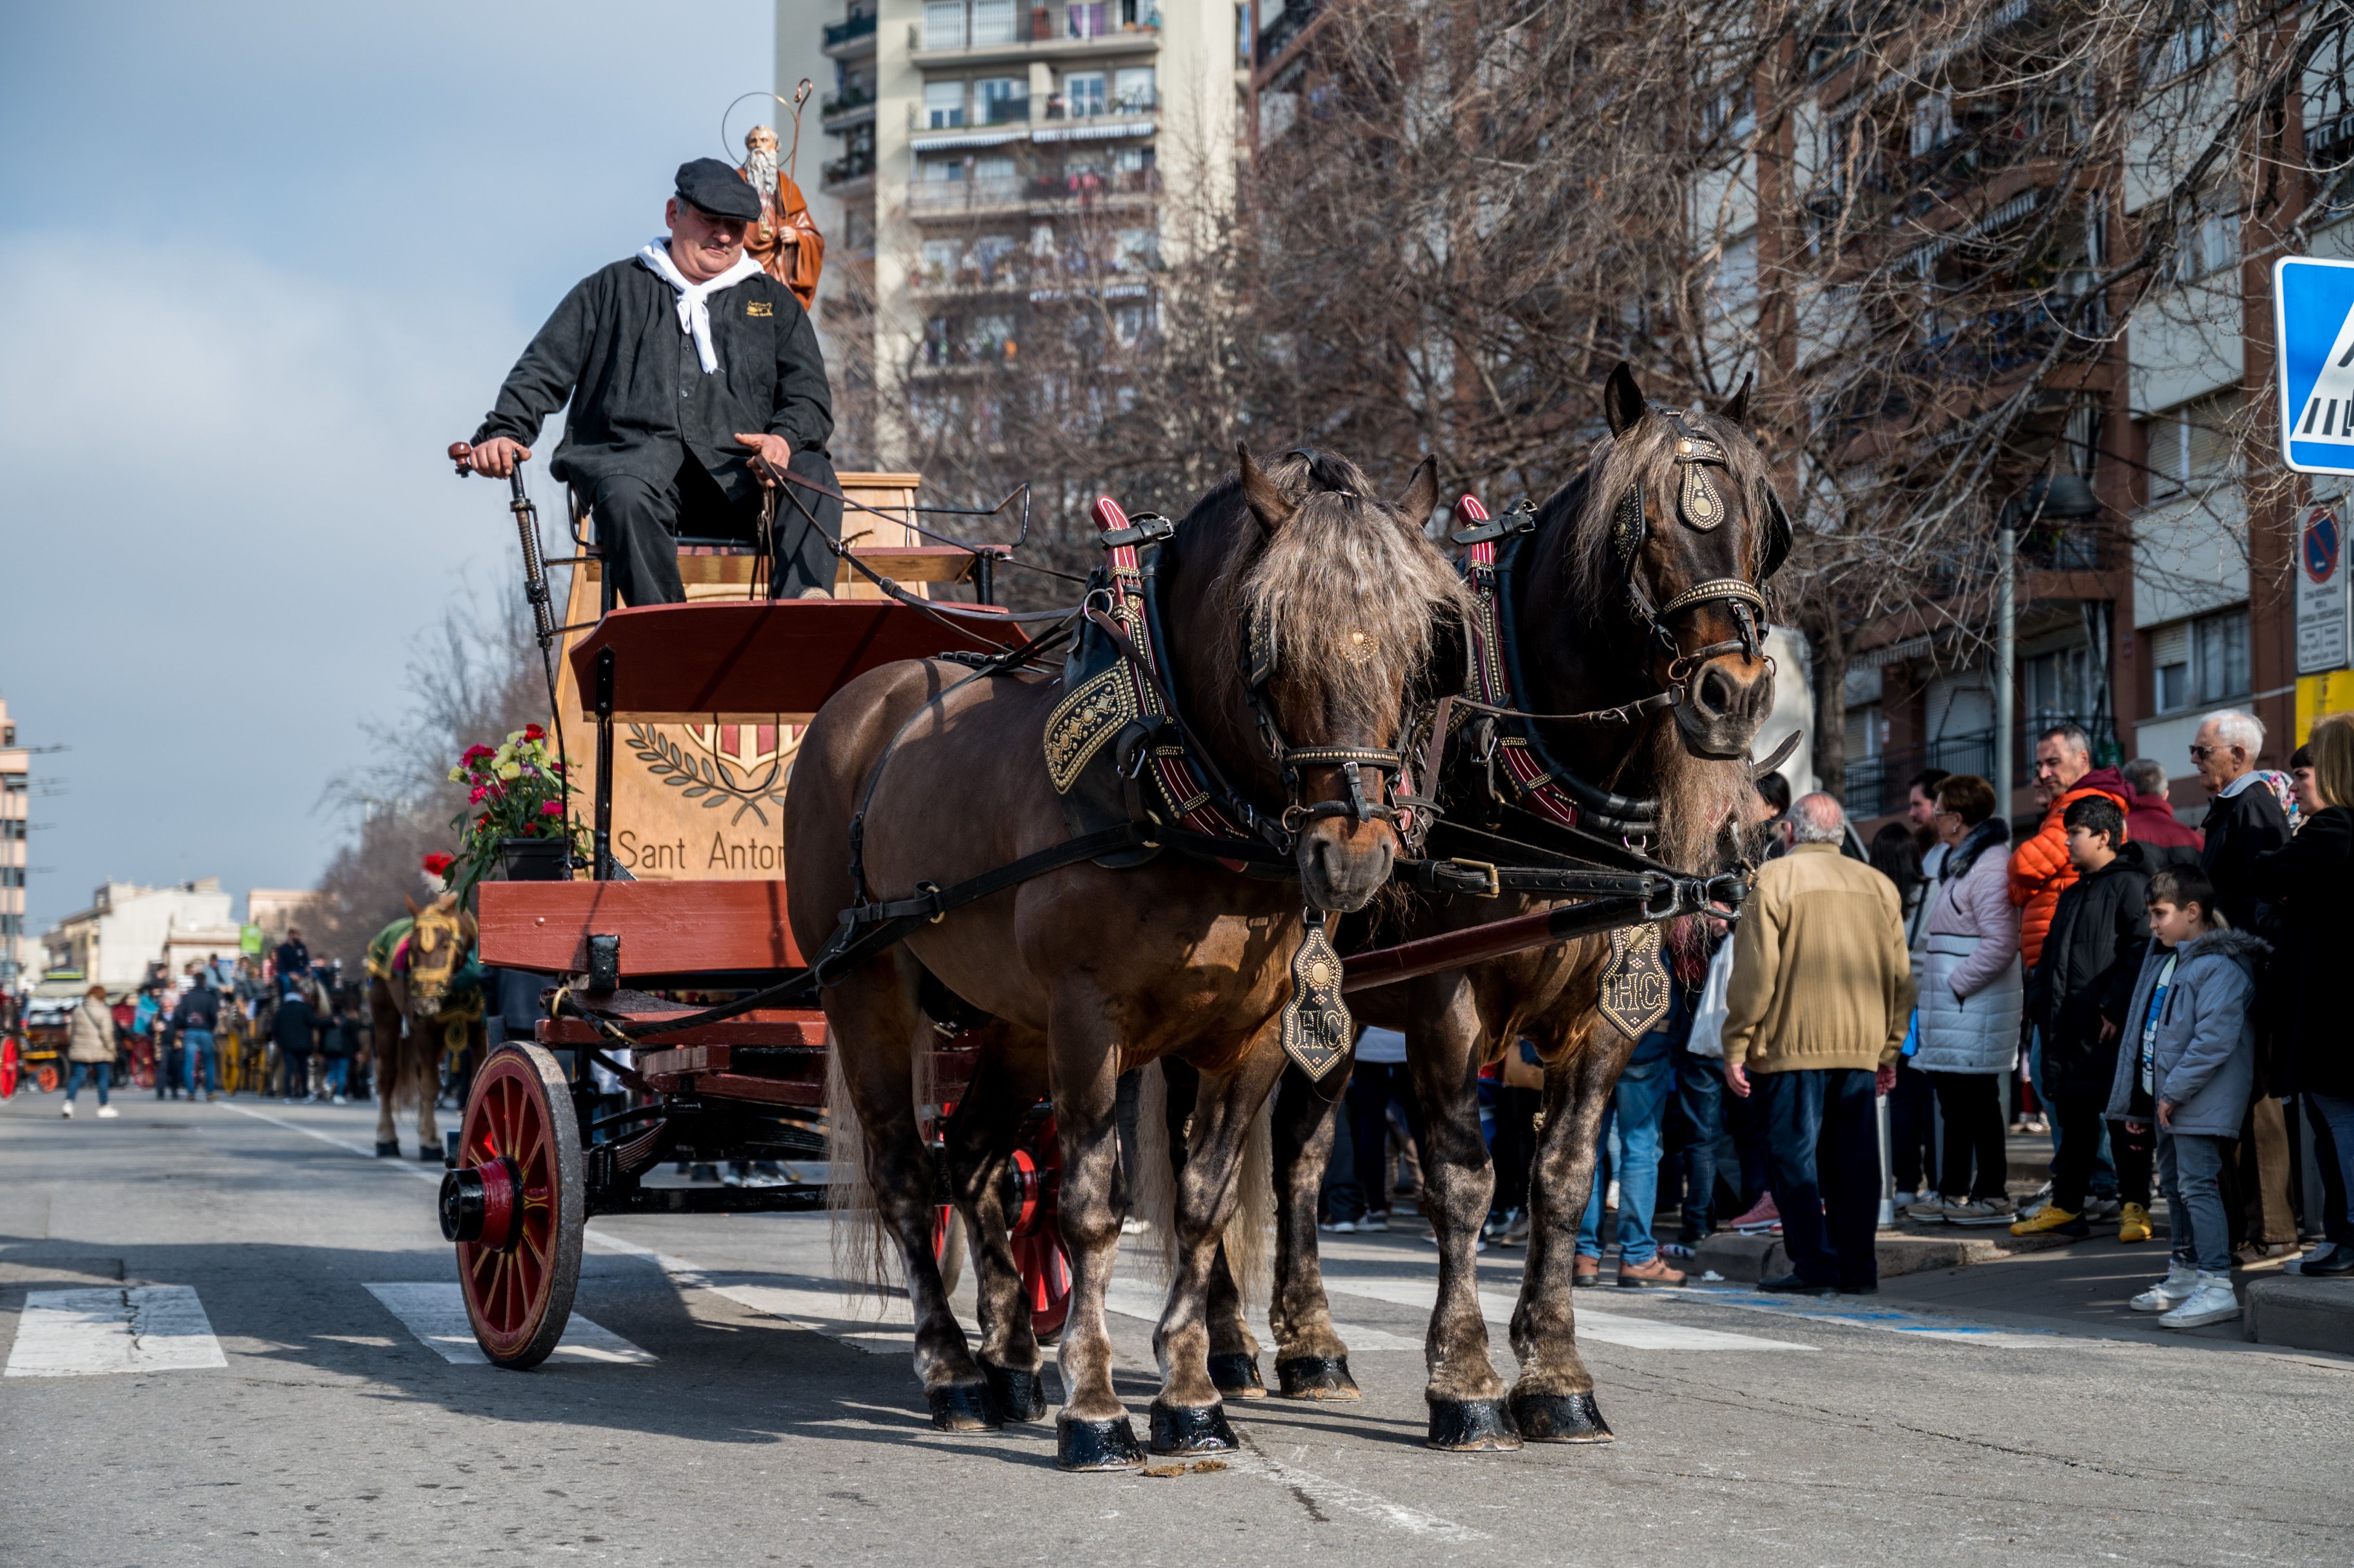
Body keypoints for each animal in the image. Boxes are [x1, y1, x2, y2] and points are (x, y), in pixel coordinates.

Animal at [786, 442, 1469, 1469]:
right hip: (866, 986)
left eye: (1419, 648)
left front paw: (1190, 1397)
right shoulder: (1086, 1018)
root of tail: (863, 703)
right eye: (1269, 643)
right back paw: (952, 1372)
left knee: (976, 1157)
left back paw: (1010, 1361)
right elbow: (1092, 1209)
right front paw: (1097, 1407)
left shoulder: (1251, 1036)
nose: (1351, 855)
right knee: (907, 1171)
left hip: (1010, 1022)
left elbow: (1199, 1207)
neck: (1168, 783)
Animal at [1252, 362, 1780, 1441]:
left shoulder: (1606, 1017)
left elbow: (1561, 1180)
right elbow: (1461, 1181)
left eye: (1758, 519)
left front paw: (1556, 1378)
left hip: (1329, 1014)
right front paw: (1462, 1381)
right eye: (1639, 525)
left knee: (1299, 1154)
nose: (1734, 693)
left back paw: (1311, 1345)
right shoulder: (1443, 1004)